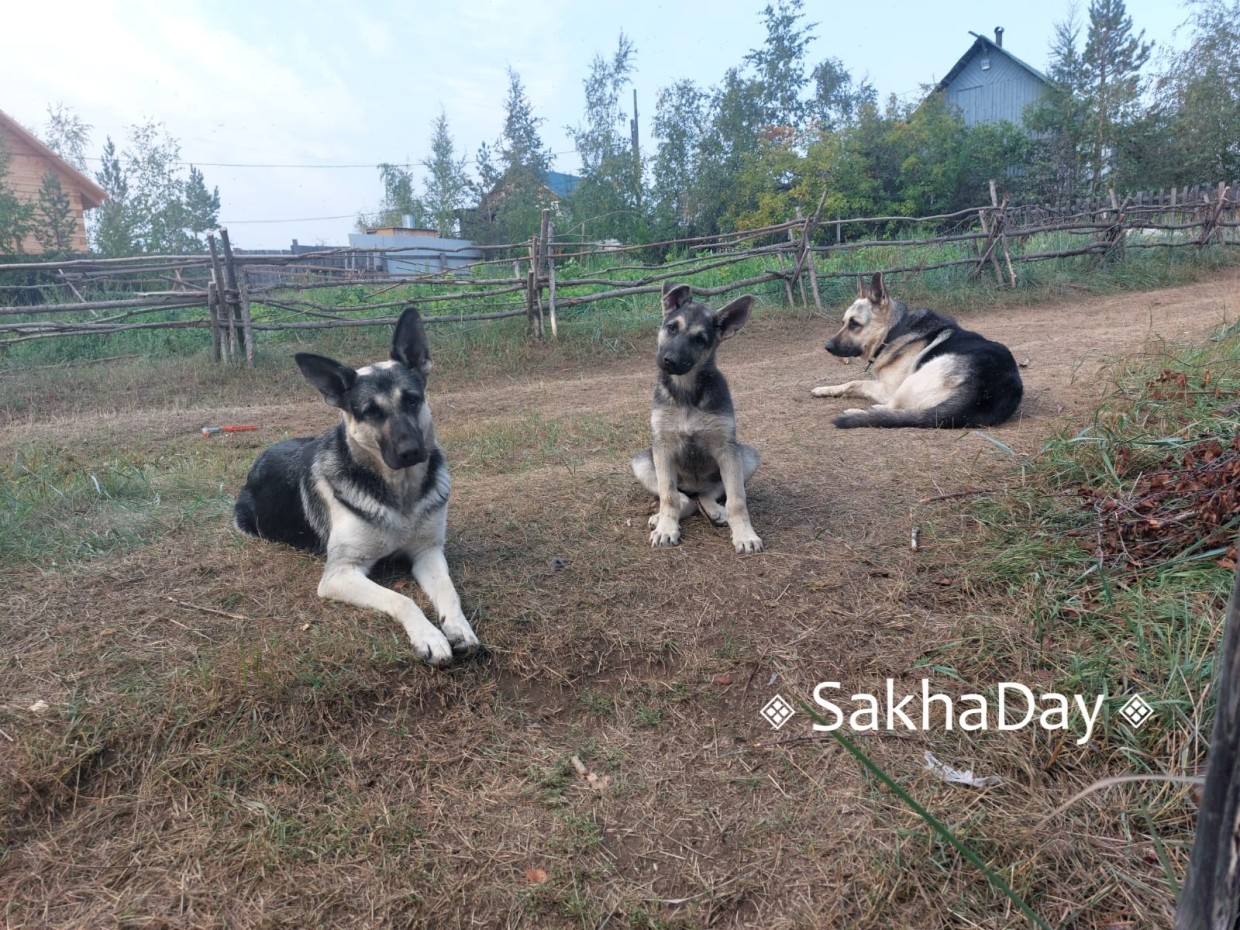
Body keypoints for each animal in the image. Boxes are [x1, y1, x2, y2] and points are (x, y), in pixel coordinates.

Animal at [233, 310, 478, 664]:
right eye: (371, 412)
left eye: (412, 400)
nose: (411, 452)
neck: (399, 495)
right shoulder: (340, 574)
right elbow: (401, 599)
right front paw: (430, 637)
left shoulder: (427, 552)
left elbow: (448, 590)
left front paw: (459, 627)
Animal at [808, 271, 1021, 429]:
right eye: (843, 322)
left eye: (854, 324)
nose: (827, 347)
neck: (893, 332)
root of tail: (987, 388)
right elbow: (847, 383)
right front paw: (824, 389)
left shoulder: (887, 389)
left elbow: (854, 383)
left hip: (912, 382)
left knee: (891, 408)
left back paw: (861, 412)